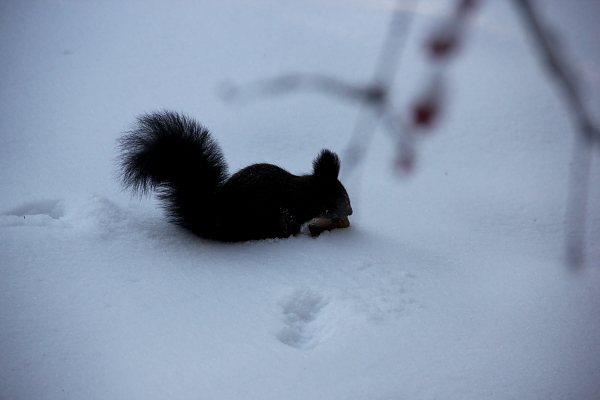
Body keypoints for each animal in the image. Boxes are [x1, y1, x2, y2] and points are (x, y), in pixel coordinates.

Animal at [116, 109, 352, 241]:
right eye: (336, 197)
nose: (350, 211)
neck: (304, 193)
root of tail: (214, 222)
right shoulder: (290, 213)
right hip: (263, 219)